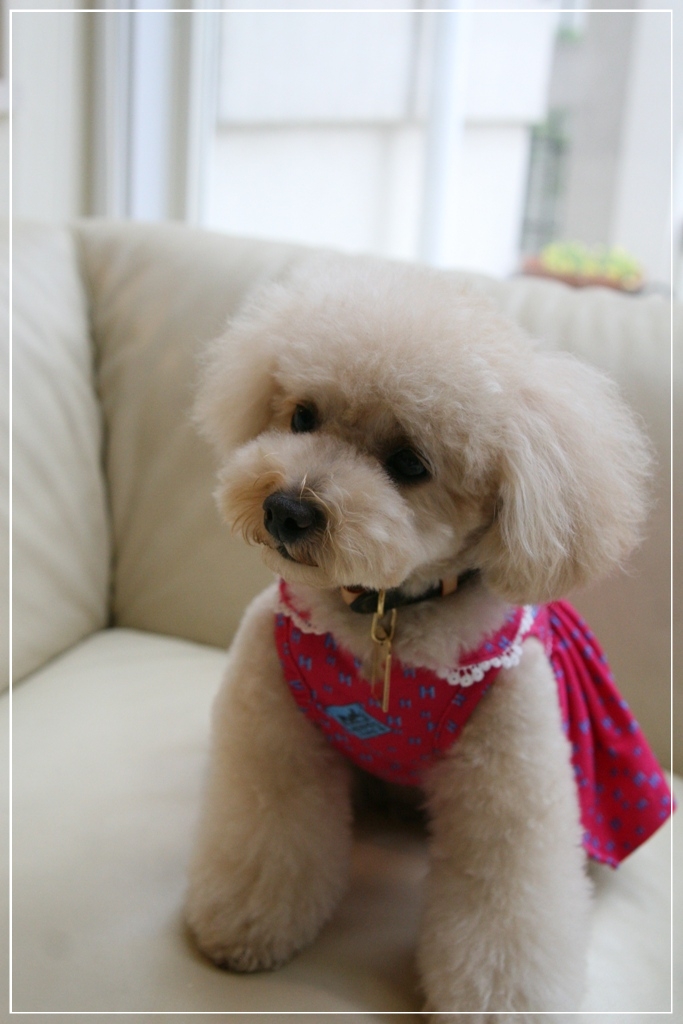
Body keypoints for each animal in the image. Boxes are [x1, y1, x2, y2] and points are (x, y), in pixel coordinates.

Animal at [184, 254, 671, 1020]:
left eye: (409, 464)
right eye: (301, 416)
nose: (286, 509)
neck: (381, 614)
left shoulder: (509, 789)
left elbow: (504, 908)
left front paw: (503, 1003)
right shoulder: (271, 742)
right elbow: (268, 836)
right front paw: (244, 925)